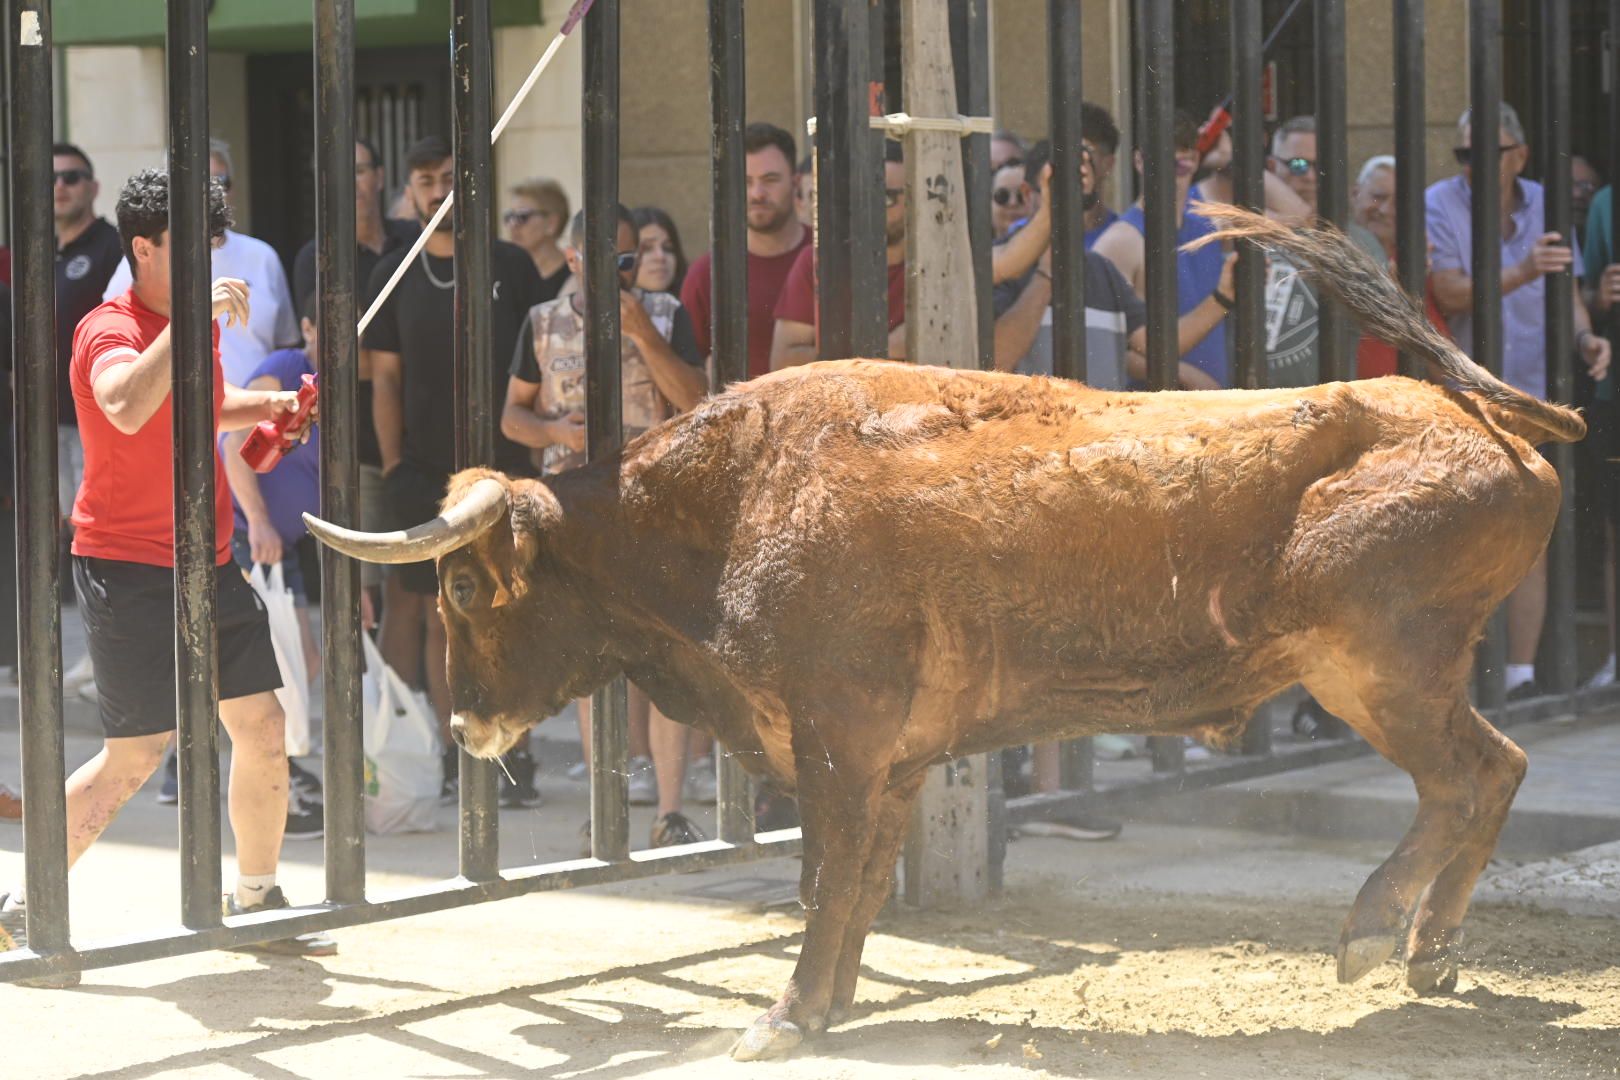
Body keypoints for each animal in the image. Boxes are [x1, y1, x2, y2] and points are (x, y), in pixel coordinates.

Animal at [304, 207, 1581, 1062]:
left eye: (465, 590)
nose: (469, 728)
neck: (740, 497)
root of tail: (1489, 421)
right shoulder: (898, 762)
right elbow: (863, 883)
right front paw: (828, 1005)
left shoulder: (838, 742)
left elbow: (827, 878)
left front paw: (782, 1016)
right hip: (1406, 677)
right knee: (1500, 770)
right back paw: (1428, 949)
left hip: (1381, 670)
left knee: (1466, 779)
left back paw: (1374, 932)